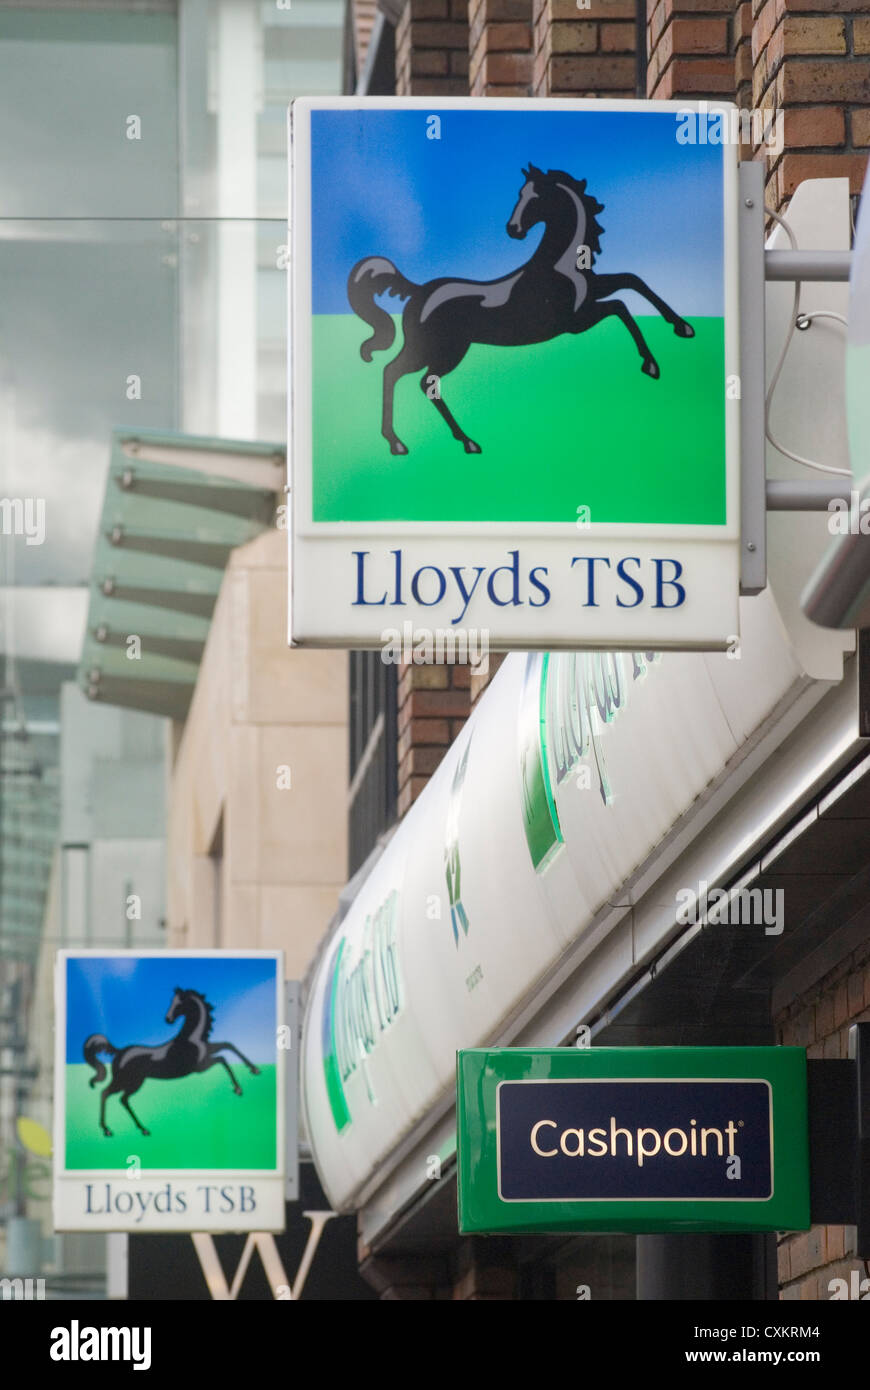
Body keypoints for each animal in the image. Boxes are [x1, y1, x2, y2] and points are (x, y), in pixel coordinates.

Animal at [84, 984, 261, 1134]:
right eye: (172, 1001)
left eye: (179, 1003)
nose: (167, 1019)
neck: (191, 1038)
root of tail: (119, 1051)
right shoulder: (200, 1067)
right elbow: (222, 1059)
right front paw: (238, 1088)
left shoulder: (207, 1052)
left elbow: (228, 1045)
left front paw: (254, 1069)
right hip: (127, 1081)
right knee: (106, 1094)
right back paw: (109, 1129)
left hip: (133, 1082)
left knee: (122, 1099)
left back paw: (141, 1129)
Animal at [346, 164, 692, 455]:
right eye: (520, 194)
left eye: (535, 196)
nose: (513, 229)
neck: (559, 265)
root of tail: (417, 292)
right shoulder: (575, 321)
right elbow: (620, 307)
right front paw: (651, 364)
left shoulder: (593, 292)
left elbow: (633, 281)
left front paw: (682, 327)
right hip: (441, 350)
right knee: (407, 378)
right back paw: (438, 442)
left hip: (435, 349)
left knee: (404, 377)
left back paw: (426, 441)